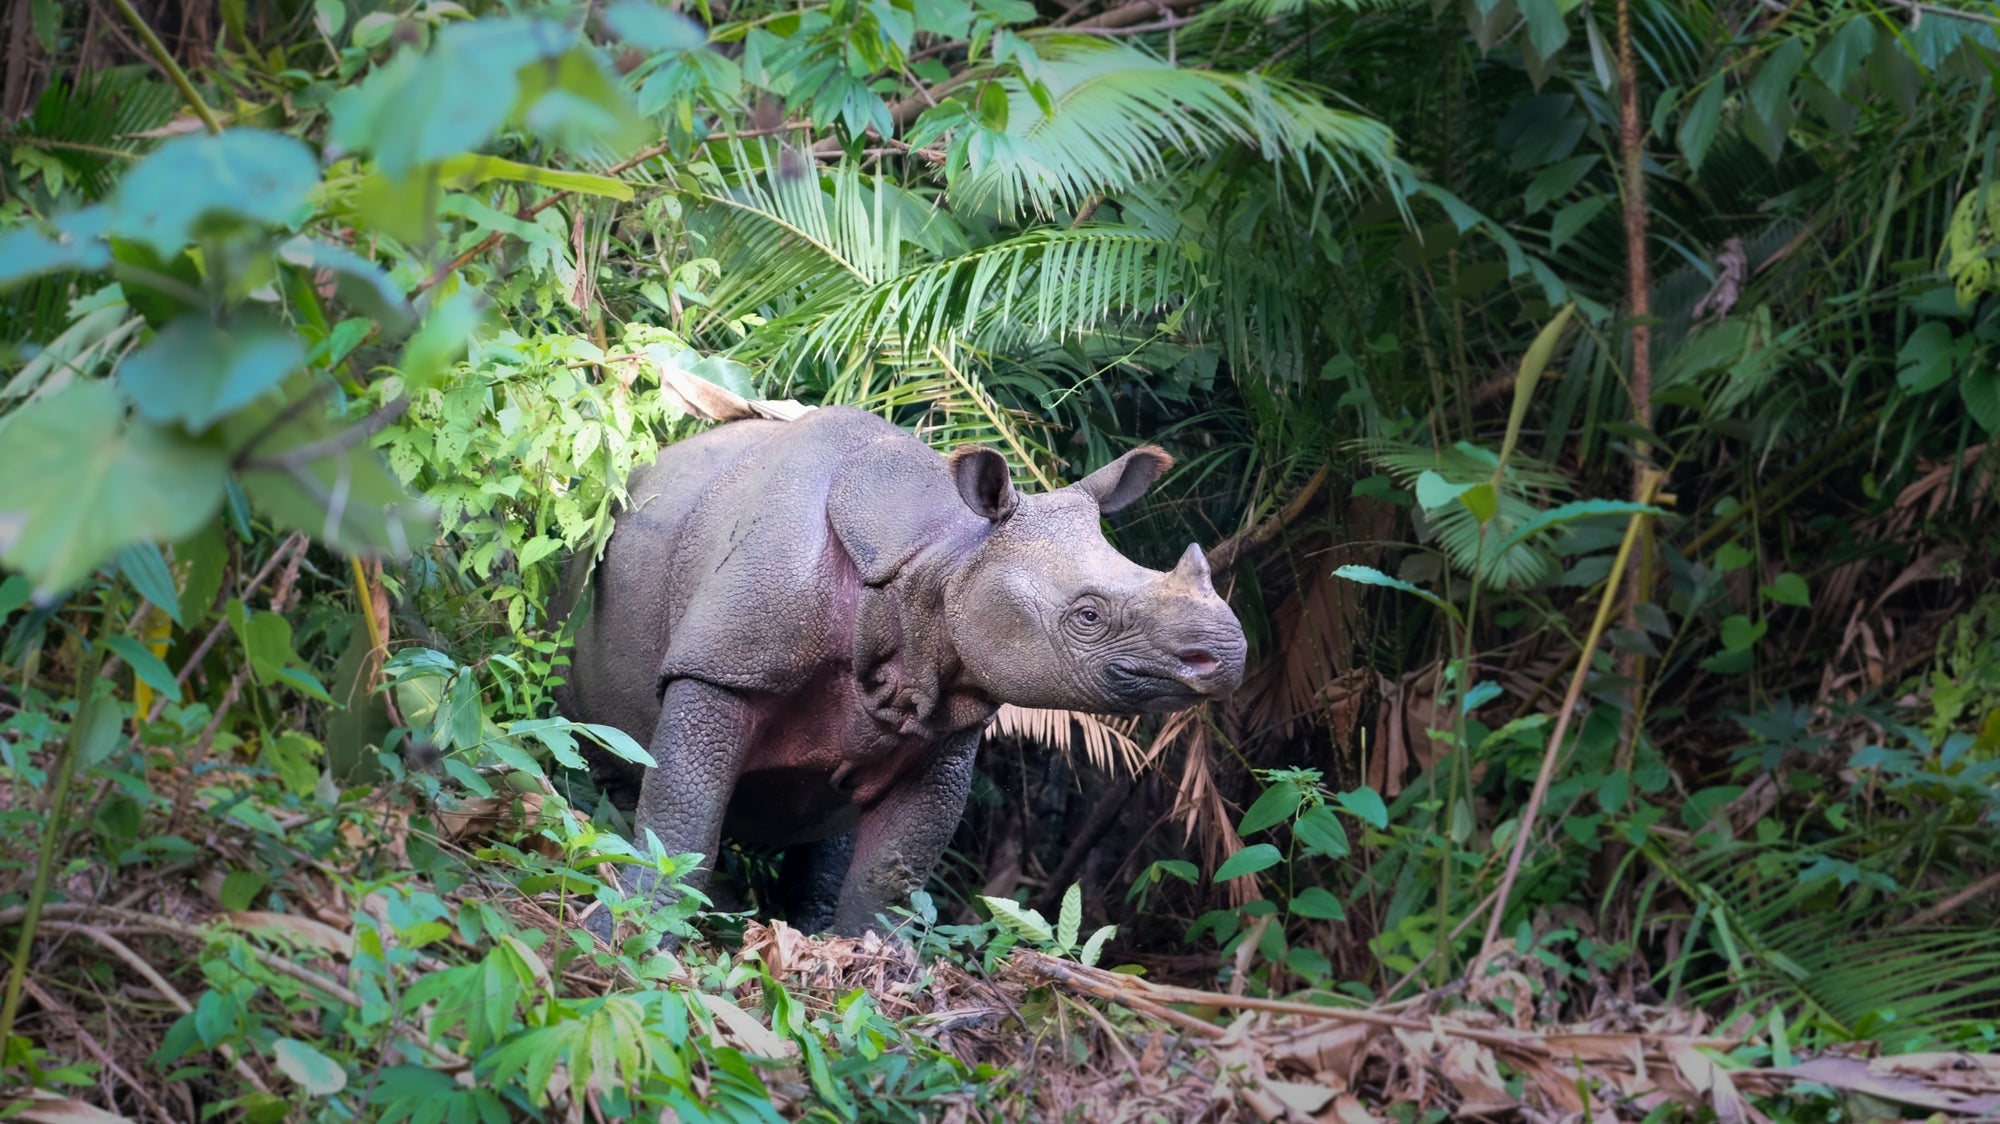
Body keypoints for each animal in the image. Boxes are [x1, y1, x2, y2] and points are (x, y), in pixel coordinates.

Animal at [554, 405, 1246, 938]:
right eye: (1088, 616)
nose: (1229, 655)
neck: (940, 559)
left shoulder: (944, 720)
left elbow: (891, 872)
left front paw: (870, 963)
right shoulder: (722, 664)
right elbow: (680, 819)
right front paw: (628, 931)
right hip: (583, 579)